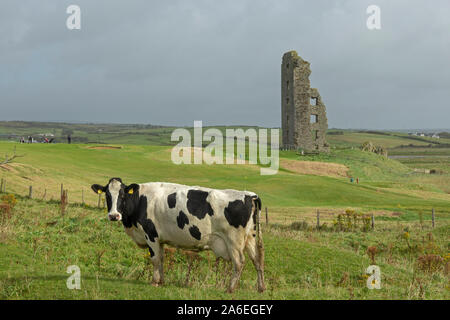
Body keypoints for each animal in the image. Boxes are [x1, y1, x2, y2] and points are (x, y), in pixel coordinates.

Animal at [92, 178, 268, 292]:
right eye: (107, 195)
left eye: (122, 195)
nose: (114, 215)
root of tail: (249, 195)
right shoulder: (160, 239)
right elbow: (161, 258)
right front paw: (161, 281)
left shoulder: (151, 234)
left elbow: (155, 259)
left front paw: (154, 282)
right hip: (250, 238)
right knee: (257, 260)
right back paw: (261, 288)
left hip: (234, 241)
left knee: (239, 262)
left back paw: (230, 289)